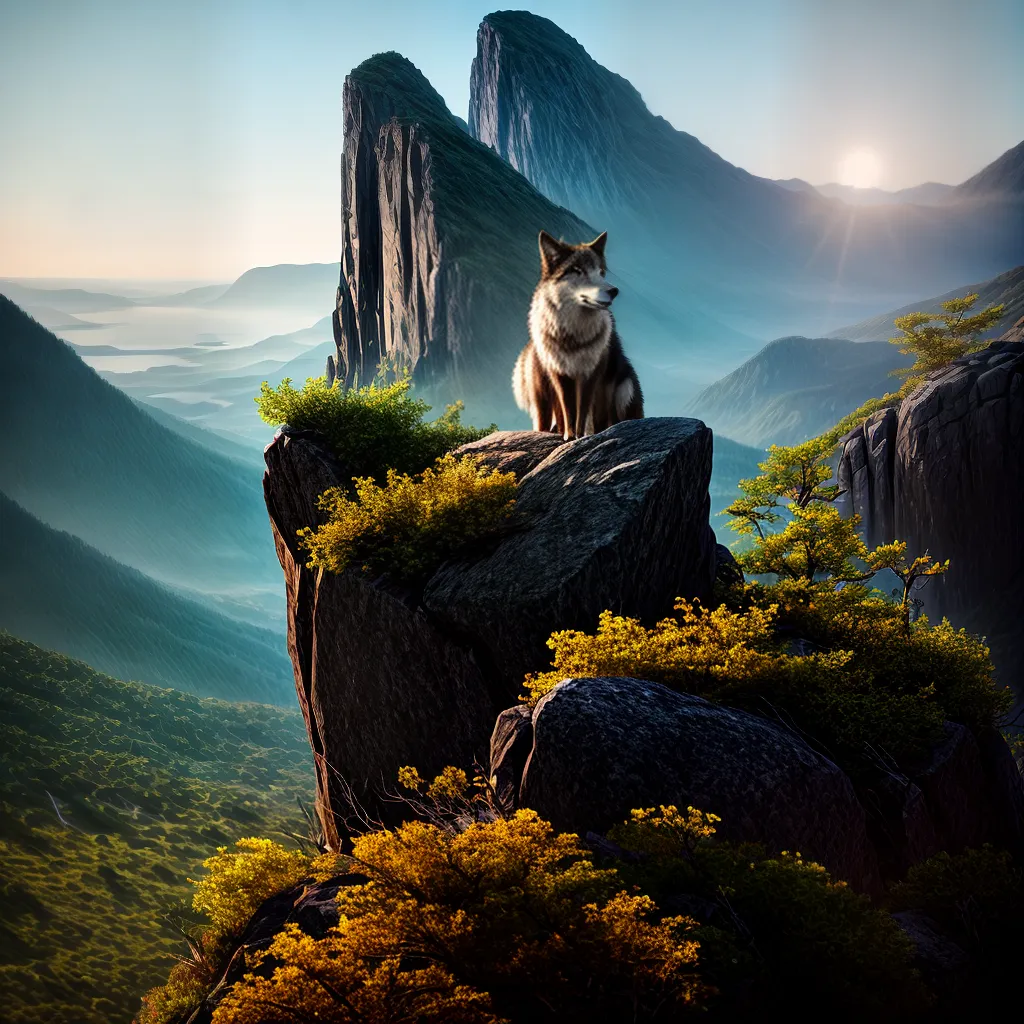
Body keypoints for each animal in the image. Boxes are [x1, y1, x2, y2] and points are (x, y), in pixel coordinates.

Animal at [512, 230, 643, 440]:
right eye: (578, 271)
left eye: (601, 272)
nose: (613, 291)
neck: (572, 336)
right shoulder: (560, 375)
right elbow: (569, 411)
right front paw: (570, 436)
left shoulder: (590, 375)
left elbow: (583, 412)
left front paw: (581, 437)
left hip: (625, 388)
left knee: (613, 417)